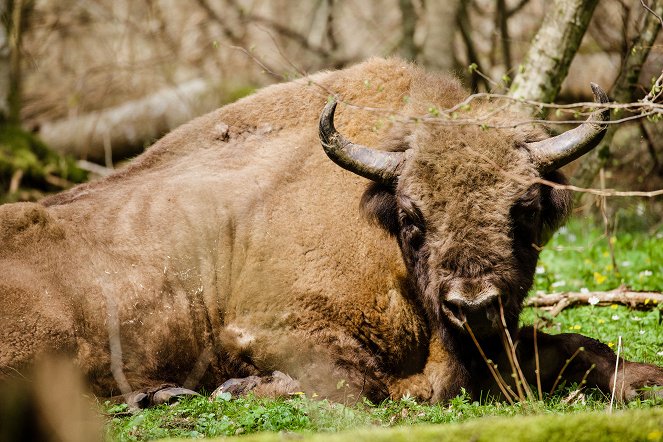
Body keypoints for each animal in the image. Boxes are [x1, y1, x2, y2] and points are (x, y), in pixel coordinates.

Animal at [1, 57, 663, 404]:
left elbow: (575, 345)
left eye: (523, 209)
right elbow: (360, 383)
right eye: (412, 217)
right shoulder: (268, 328)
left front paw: (642, 380)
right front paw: (244, 388)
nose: (471, 304)